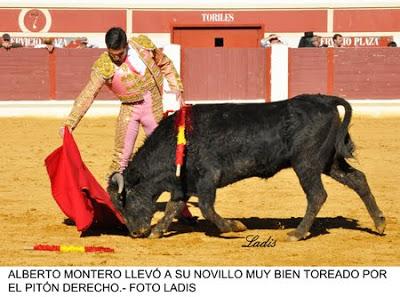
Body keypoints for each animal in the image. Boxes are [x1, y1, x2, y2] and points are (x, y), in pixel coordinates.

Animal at [108, 93, 386, 239]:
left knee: (317, 195)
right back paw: (380, 223)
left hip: (305, 163)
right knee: (358, 179)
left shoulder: (209, 176)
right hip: (329, 162)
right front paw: (157, 231)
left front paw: (233, 227)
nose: (136, 232)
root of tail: (326, 100)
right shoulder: (183, 184)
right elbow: (173, 208)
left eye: (124, 200)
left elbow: (207, 207)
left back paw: (297, 233)